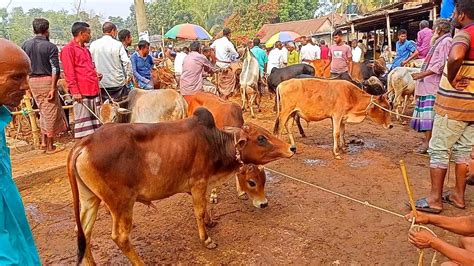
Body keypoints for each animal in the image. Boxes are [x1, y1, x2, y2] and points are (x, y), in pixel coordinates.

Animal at [68, 107, 294, 264]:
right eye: (261, 138)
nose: (291, 148)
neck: (216, 142)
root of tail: (84, 143)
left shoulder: (204, 183)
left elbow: (206, 205)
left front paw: (211, 222)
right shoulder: (198, 183)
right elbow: (199, 211)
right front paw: (206, 239)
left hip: (90, 199)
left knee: (84, 234)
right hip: (121, 203)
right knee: (120, 237)